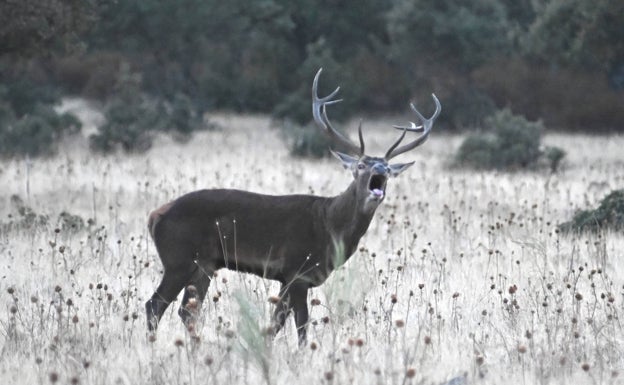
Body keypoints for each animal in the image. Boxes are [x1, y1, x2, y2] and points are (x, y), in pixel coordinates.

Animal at [144, 68, 442, 342]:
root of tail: (155, 216)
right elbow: (301, 323)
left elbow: (275, 323)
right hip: (178, 258)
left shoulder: (288, 278)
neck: (331, 226)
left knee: (187, 310)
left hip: (203, 264)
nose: (379, 169)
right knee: (154, 305)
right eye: (360, 165)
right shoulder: (298, 270)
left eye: (388, 169)